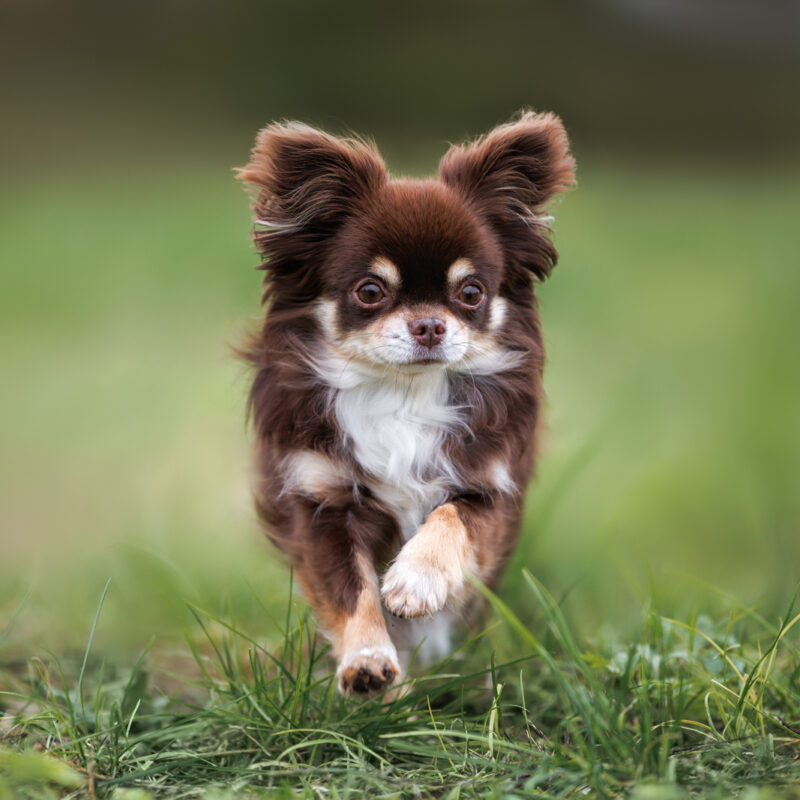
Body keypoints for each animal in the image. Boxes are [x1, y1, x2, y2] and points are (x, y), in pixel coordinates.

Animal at [238, 111, 576, 692]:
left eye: (471, 293)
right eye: (370, 292)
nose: (429, 325)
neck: (402, 394)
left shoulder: (490, 489)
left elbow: (451, 516)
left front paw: (416, 581)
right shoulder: (321, 502)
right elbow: (352, 591)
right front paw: (369, 660)